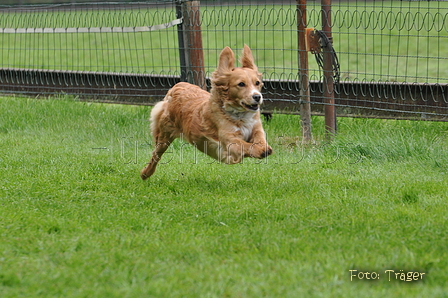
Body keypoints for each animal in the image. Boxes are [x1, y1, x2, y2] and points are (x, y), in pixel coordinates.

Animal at [142, 44, 272, 179]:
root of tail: (178, 86)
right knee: (155, 155)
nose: (257, 97)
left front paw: (264, 147)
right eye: (241, 84)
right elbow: (244, 145)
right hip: (164, 136)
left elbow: (260, 139)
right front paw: (261, 151)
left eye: (257, 83)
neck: (239, 116)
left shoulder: (257, 129)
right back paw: (145, 173)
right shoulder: (230, 141)